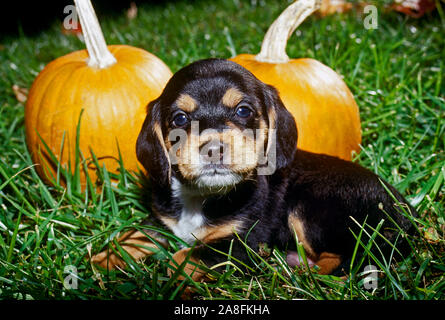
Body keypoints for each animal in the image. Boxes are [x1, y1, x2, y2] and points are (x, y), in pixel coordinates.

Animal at [91, 58, 416, 278]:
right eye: (180, 118)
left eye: (243, 111)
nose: (213, 149)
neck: (200, 196)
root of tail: (407, 219)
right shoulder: (162, 222)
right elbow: (134, 235)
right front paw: (101, 261)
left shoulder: (246, 242)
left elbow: (185, 255)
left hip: (311, 204)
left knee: (347, 260)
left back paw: (294, 275)